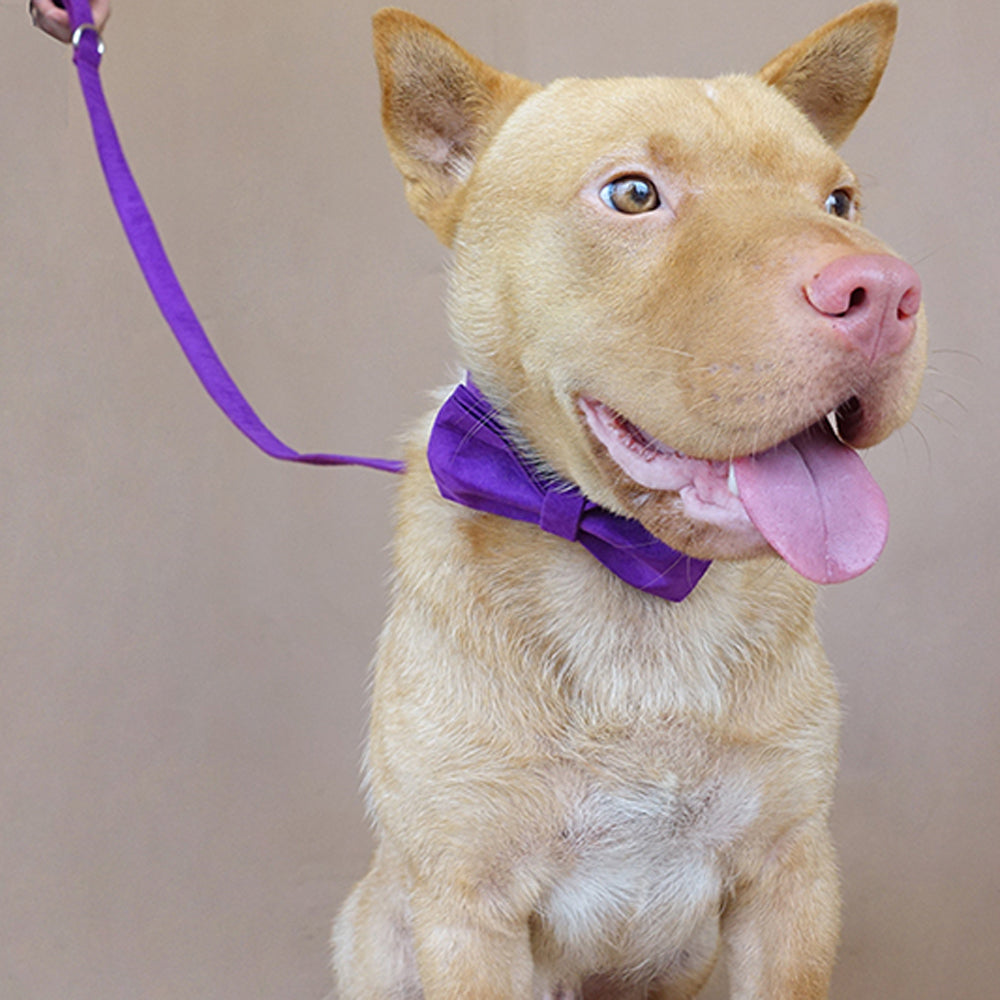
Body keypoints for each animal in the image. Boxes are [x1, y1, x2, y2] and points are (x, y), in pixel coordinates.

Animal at [332, 3, 924, 996]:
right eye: (635, 195)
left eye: (839, 203)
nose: (883, 292)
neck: (636, 586)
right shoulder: (469, 910)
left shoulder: (792, 880)